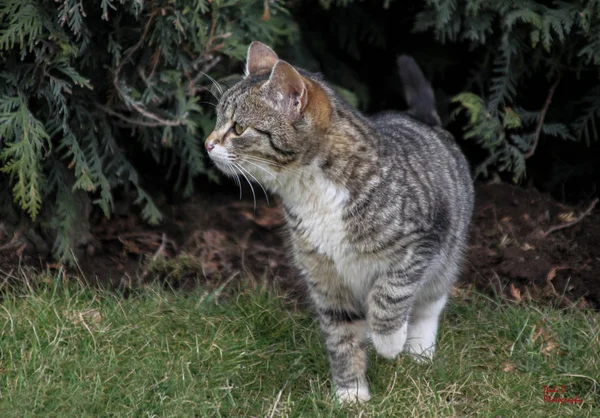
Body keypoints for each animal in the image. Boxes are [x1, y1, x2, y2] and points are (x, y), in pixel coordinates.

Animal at [205, 41, 474, 402]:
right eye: (219, 119)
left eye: (238, 128)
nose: (207, 144)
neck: (311, 191)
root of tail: (422, 120)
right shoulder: (325, 277)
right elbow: (342, 336)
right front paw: (351, 392)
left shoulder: (422, 241)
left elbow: (390, 293)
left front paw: (389, 341)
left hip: (447, 252)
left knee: (431, 300)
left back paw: (418, 348)